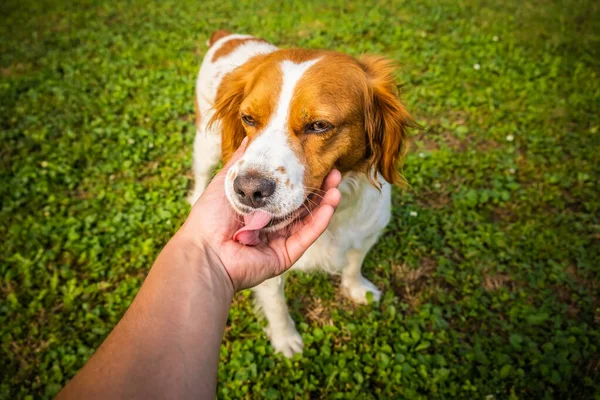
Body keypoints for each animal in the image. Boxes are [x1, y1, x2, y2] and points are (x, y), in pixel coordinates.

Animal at [191, 30, 412, 356]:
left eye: (319, 125)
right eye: (248, 119)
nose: (248, 190)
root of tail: (228, 36)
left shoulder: (367, 233)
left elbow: (353, 264)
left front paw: (357, 289)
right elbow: (277, 307)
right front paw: (286, 340)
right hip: (208, 143)